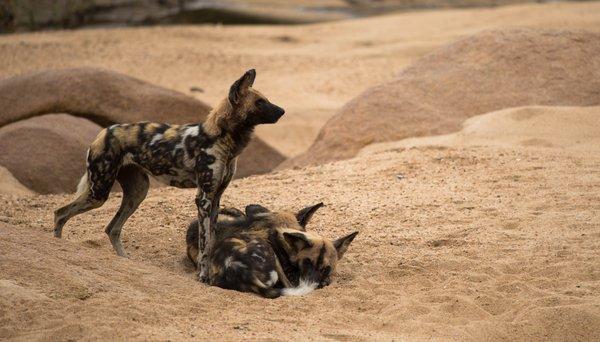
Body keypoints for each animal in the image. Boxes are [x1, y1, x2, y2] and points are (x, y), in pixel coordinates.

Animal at [52, 69, 284, 284]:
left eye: (265, 99)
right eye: (260, 102)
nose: (282, 110)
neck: (222, 139)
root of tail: (103, 132)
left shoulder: (215, 199)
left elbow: (211, 241)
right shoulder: (204, 199)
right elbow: (204, 243)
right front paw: (203, 276)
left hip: (137, 193)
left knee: (112, 228)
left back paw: (125, 261)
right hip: (99, 193)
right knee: (60, 213)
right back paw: (59, 247)